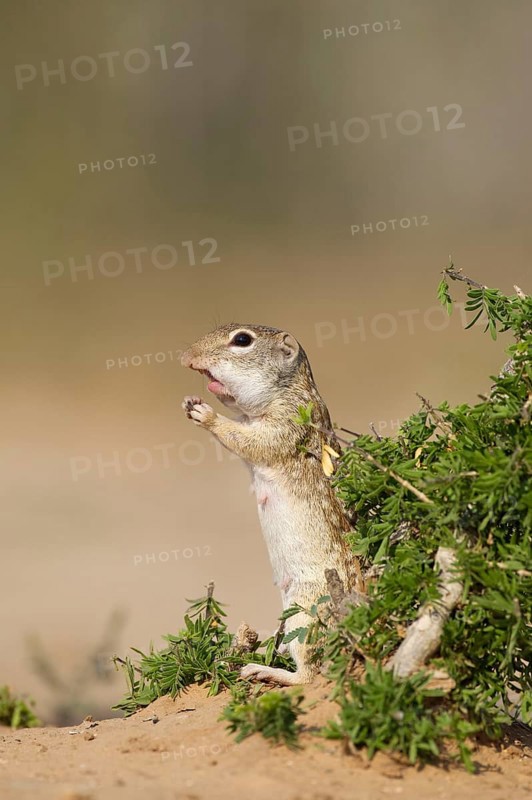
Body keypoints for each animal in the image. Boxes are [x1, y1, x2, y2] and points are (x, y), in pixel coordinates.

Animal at [181, 323, 362, 685]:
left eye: (242, 340)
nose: (186, 356)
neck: (292, 388)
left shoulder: (285, 424)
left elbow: (249, 440)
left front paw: (205, 414)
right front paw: (189, 402)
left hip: (304, 615)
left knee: (308, 675)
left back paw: (262, 670)